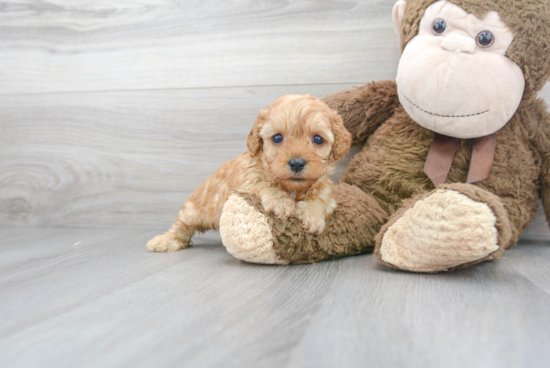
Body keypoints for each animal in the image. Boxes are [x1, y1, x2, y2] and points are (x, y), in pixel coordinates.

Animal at [147, 93, 354, 252]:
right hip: (193, 210)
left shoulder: (324, 189)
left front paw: (312, 215)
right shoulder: (245, 180)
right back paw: (165, 241)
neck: (292, 188)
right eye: (277, 138)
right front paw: (280, 200)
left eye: (318, 139)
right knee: (181, 226)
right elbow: (261, 183)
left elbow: (320, 197)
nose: (296, 163)